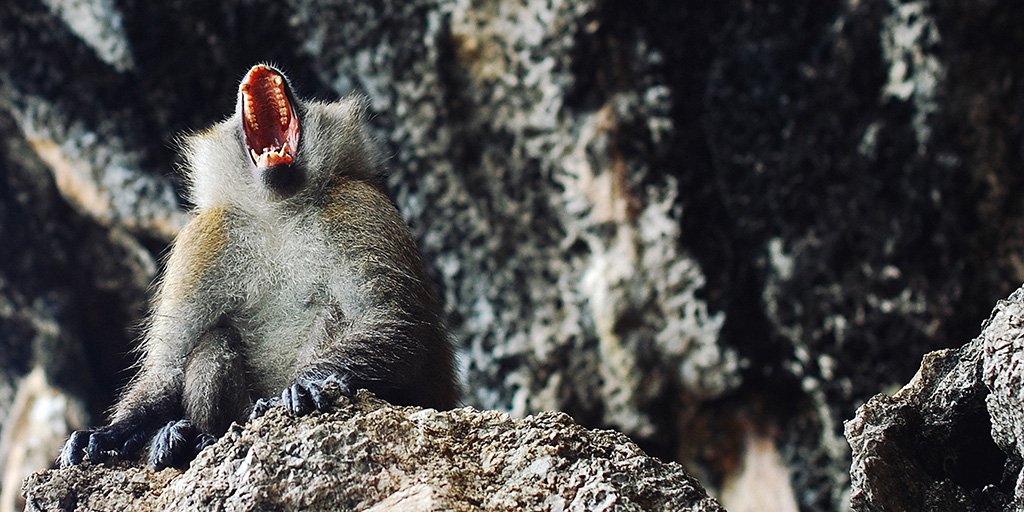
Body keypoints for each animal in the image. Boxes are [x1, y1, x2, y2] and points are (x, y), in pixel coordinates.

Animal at [58, 64, 458, 469]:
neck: (279, 210)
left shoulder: (355, 205)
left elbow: (396, 322)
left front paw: (309, 383)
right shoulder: (206, 237)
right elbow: (168, 366)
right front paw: (113, 432)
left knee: (333, 311)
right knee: (213, 343)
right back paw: (193, 437)